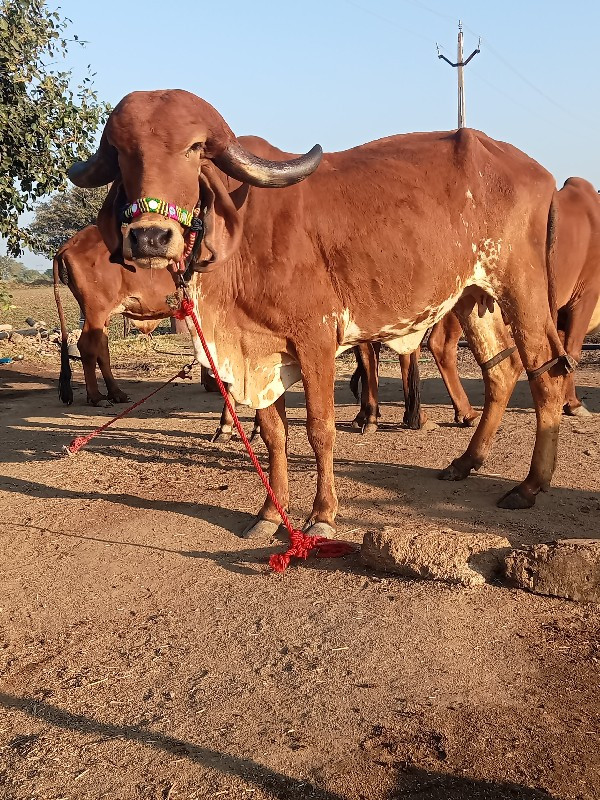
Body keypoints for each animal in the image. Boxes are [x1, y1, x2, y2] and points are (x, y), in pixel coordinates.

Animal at [67, 90, 572, 536]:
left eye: (193, 149)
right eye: (122, 153)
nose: (149, 237)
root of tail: (536, 170)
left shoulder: (316, 341)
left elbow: (319, 428)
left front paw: (324, 514)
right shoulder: (259, 353)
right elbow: (274, 434)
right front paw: (271, 513)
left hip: (522, 288)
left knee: (546, 373)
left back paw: (530, 485)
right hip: (472, 296)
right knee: (500, 371)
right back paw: (467, 462)